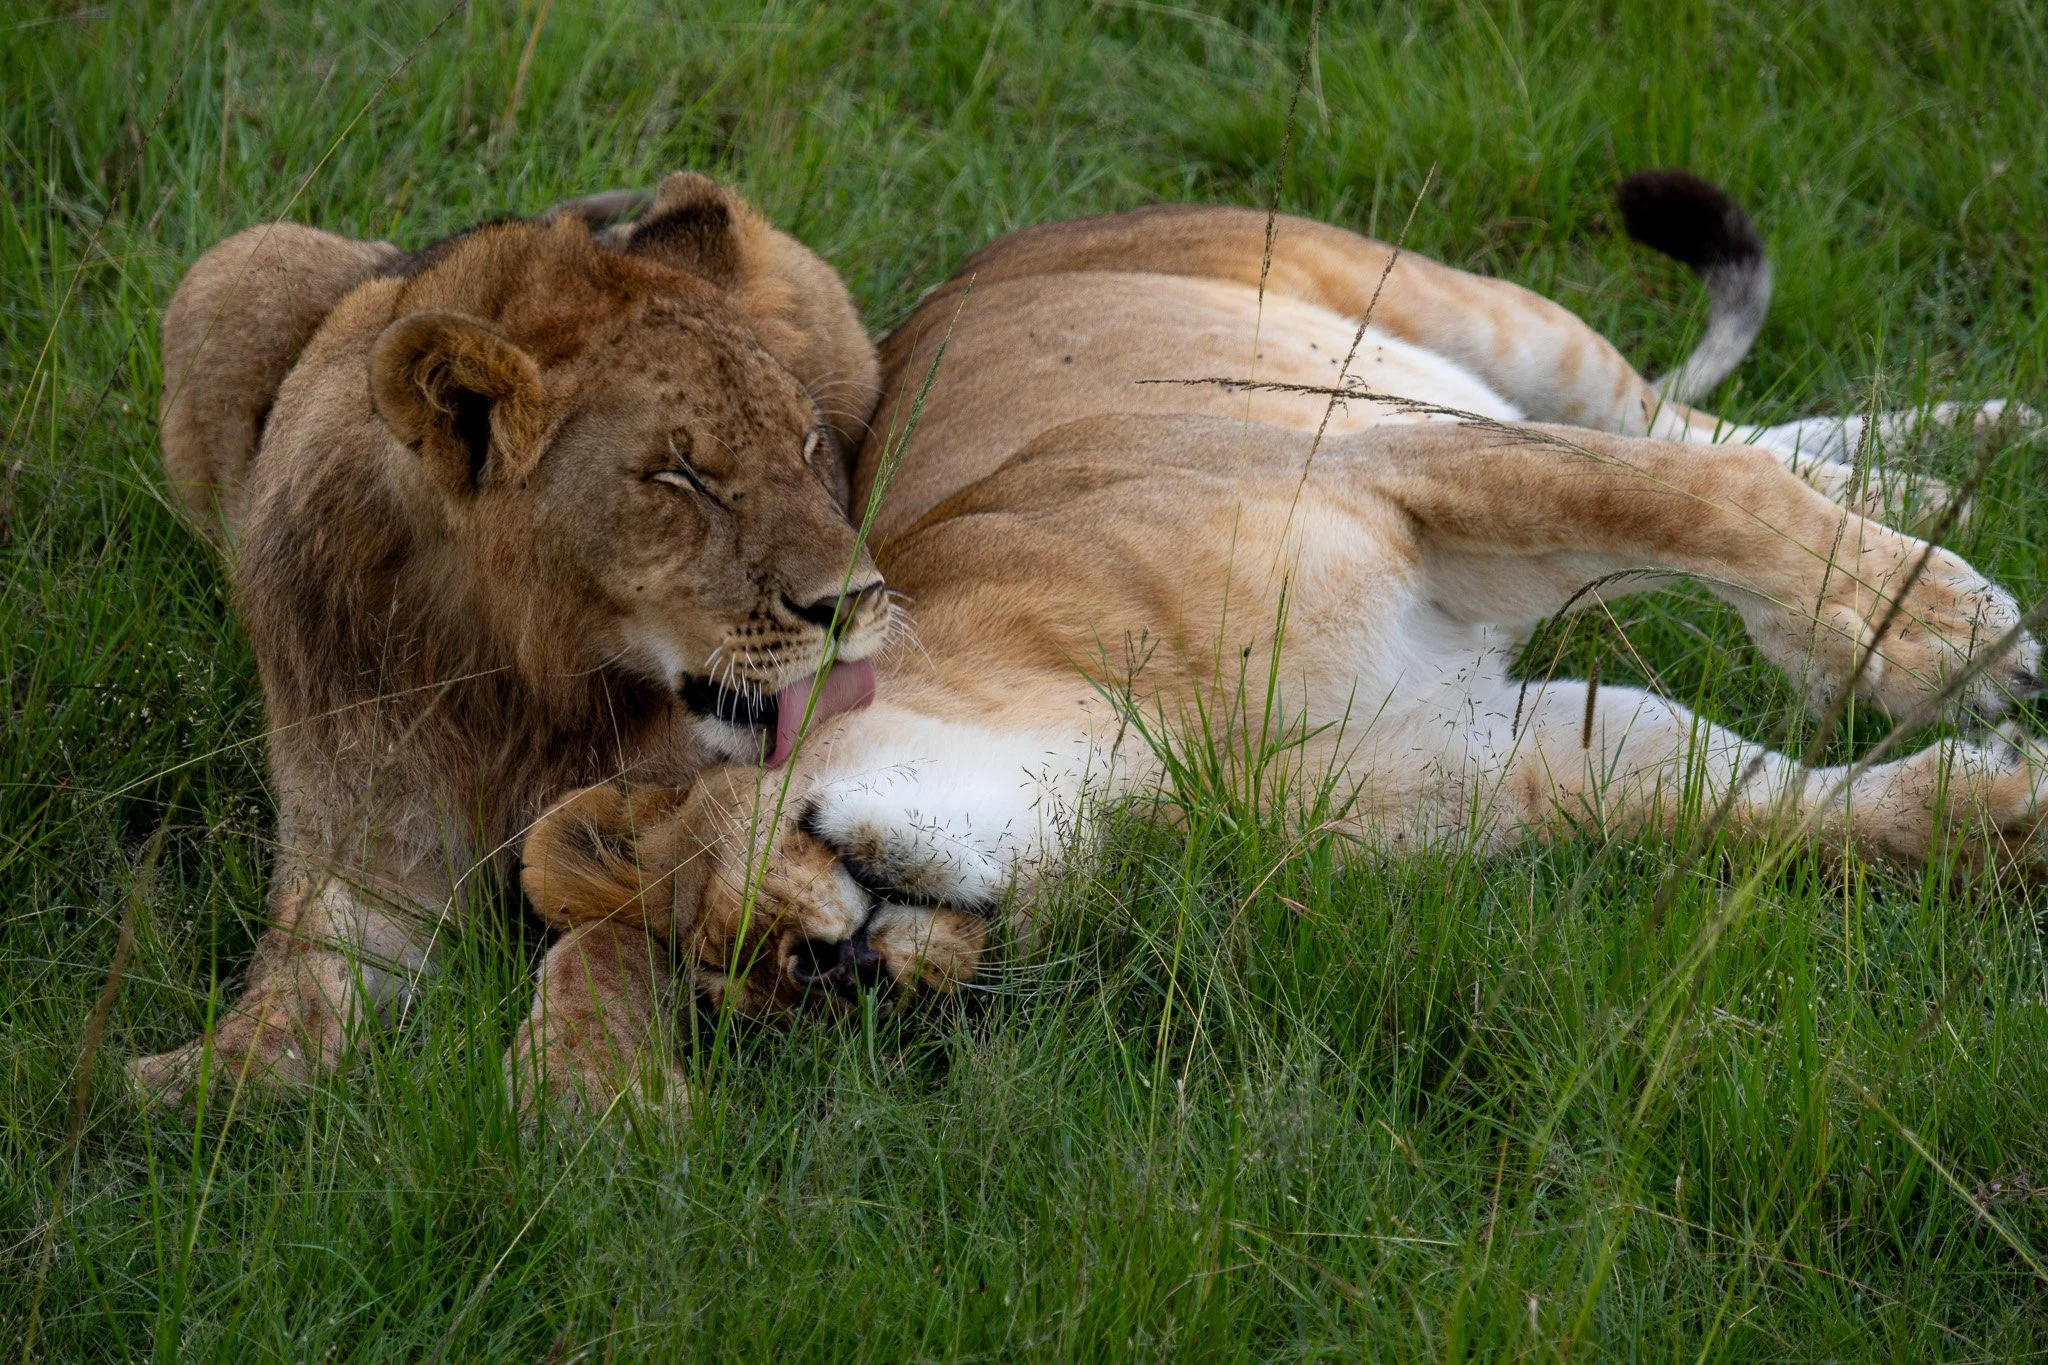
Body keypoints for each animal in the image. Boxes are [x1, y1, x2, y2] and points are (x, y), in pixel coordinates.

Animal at [136, 172, 897, 1108]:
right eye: (680, 476)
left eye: (808, 446)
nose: (856, 598)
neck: (517, 677)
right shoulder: (367, 853)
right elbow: (300, 973)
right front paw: (200, 1077)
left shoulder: (670, 809)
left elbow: (606, 948)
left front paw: (584, 1086)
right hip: (236, 266)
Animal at [520, 171, 2044, 1083]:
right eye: (766, 1004)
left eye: (741, 914)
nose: (829, 970)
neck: (1142, 749)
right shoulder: (1510, 760)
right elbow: (1764, 807)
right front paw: (1999, 820)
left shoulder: (1406, 467)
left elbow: (1707, 506)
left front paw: (1936, 636)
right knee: (1733, 435)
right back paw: (1955, 467)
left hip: (1473, 321)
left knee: (1684, 430)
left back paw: (1979, 447)